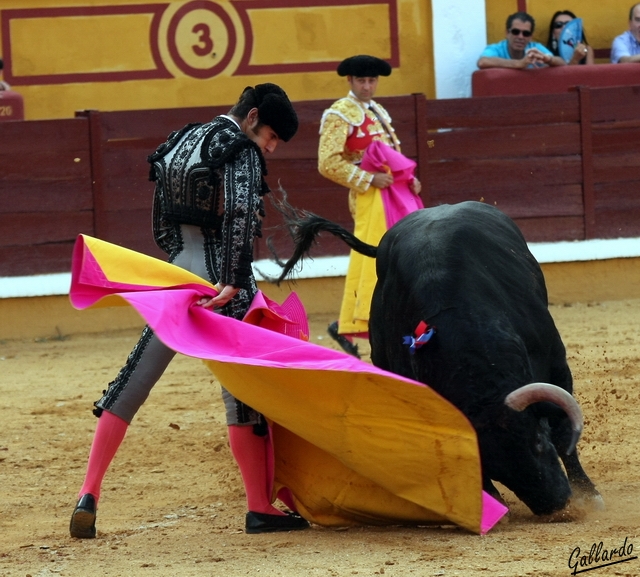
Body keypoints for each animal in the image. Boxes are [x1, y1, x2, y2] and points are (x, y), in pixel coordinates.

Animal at [276, 200, 604, 516]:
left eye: (537, 442)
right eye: (492, 467)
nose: (556, 507)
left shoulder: (555, 363)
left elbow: (563, 431)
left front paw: (589, 495)